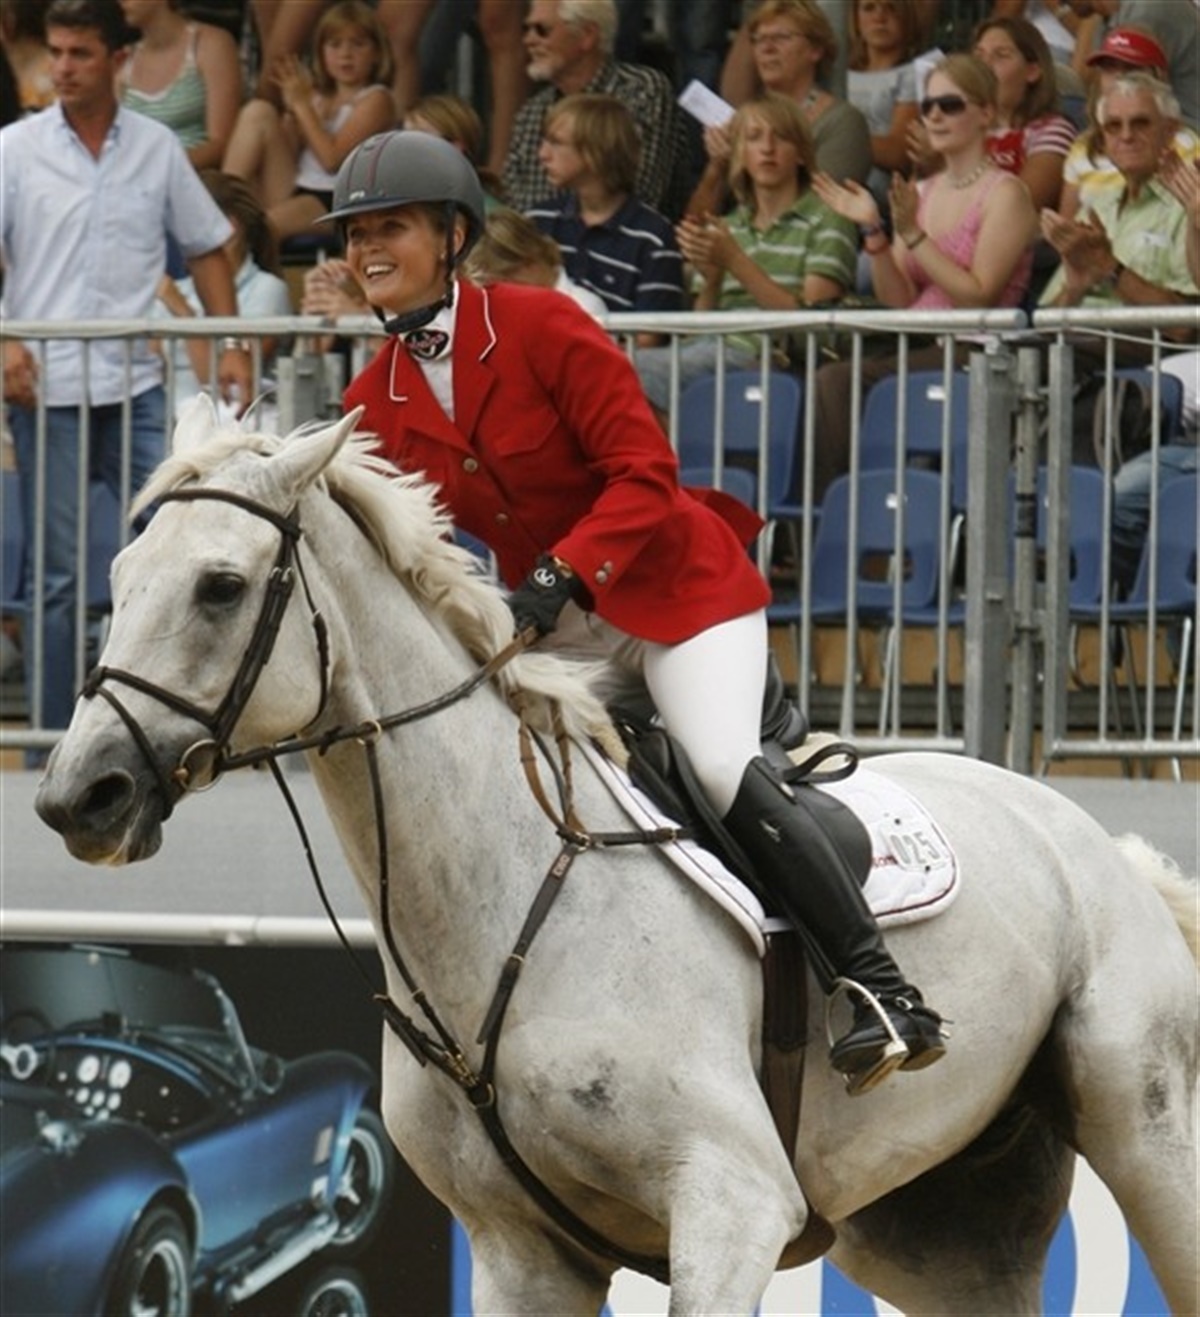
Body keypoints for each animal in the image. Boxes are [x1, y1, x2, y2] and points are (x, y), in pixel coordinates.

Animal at [35, 399, 1199, 1315]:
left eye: (220, 587)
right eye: (122, 575)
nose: (76, 797)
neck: (495, 906)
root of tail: (1089, 834)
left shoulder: (731, 1205)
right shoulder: (521, 1255)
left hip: (1151, 1137)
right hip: (939, 1235)